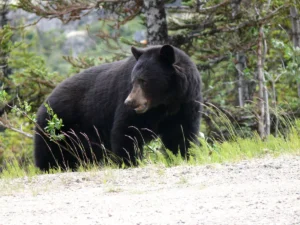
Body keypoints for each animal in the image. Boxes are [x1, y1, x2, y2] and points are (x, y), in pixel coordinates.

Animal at [34, 44, 203, 171]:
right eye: (133, 80)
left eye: (144, 81)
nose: (129, 102)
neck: (165, 103)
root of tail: (44, 103)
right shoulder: (133, 108)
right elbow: (127, 130)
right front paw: (130, 161)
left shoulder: (186, 103)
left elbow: (180, 133)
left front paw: (183, 156)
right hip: (56, 127)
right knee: (49, 152)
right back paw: (49, 167)